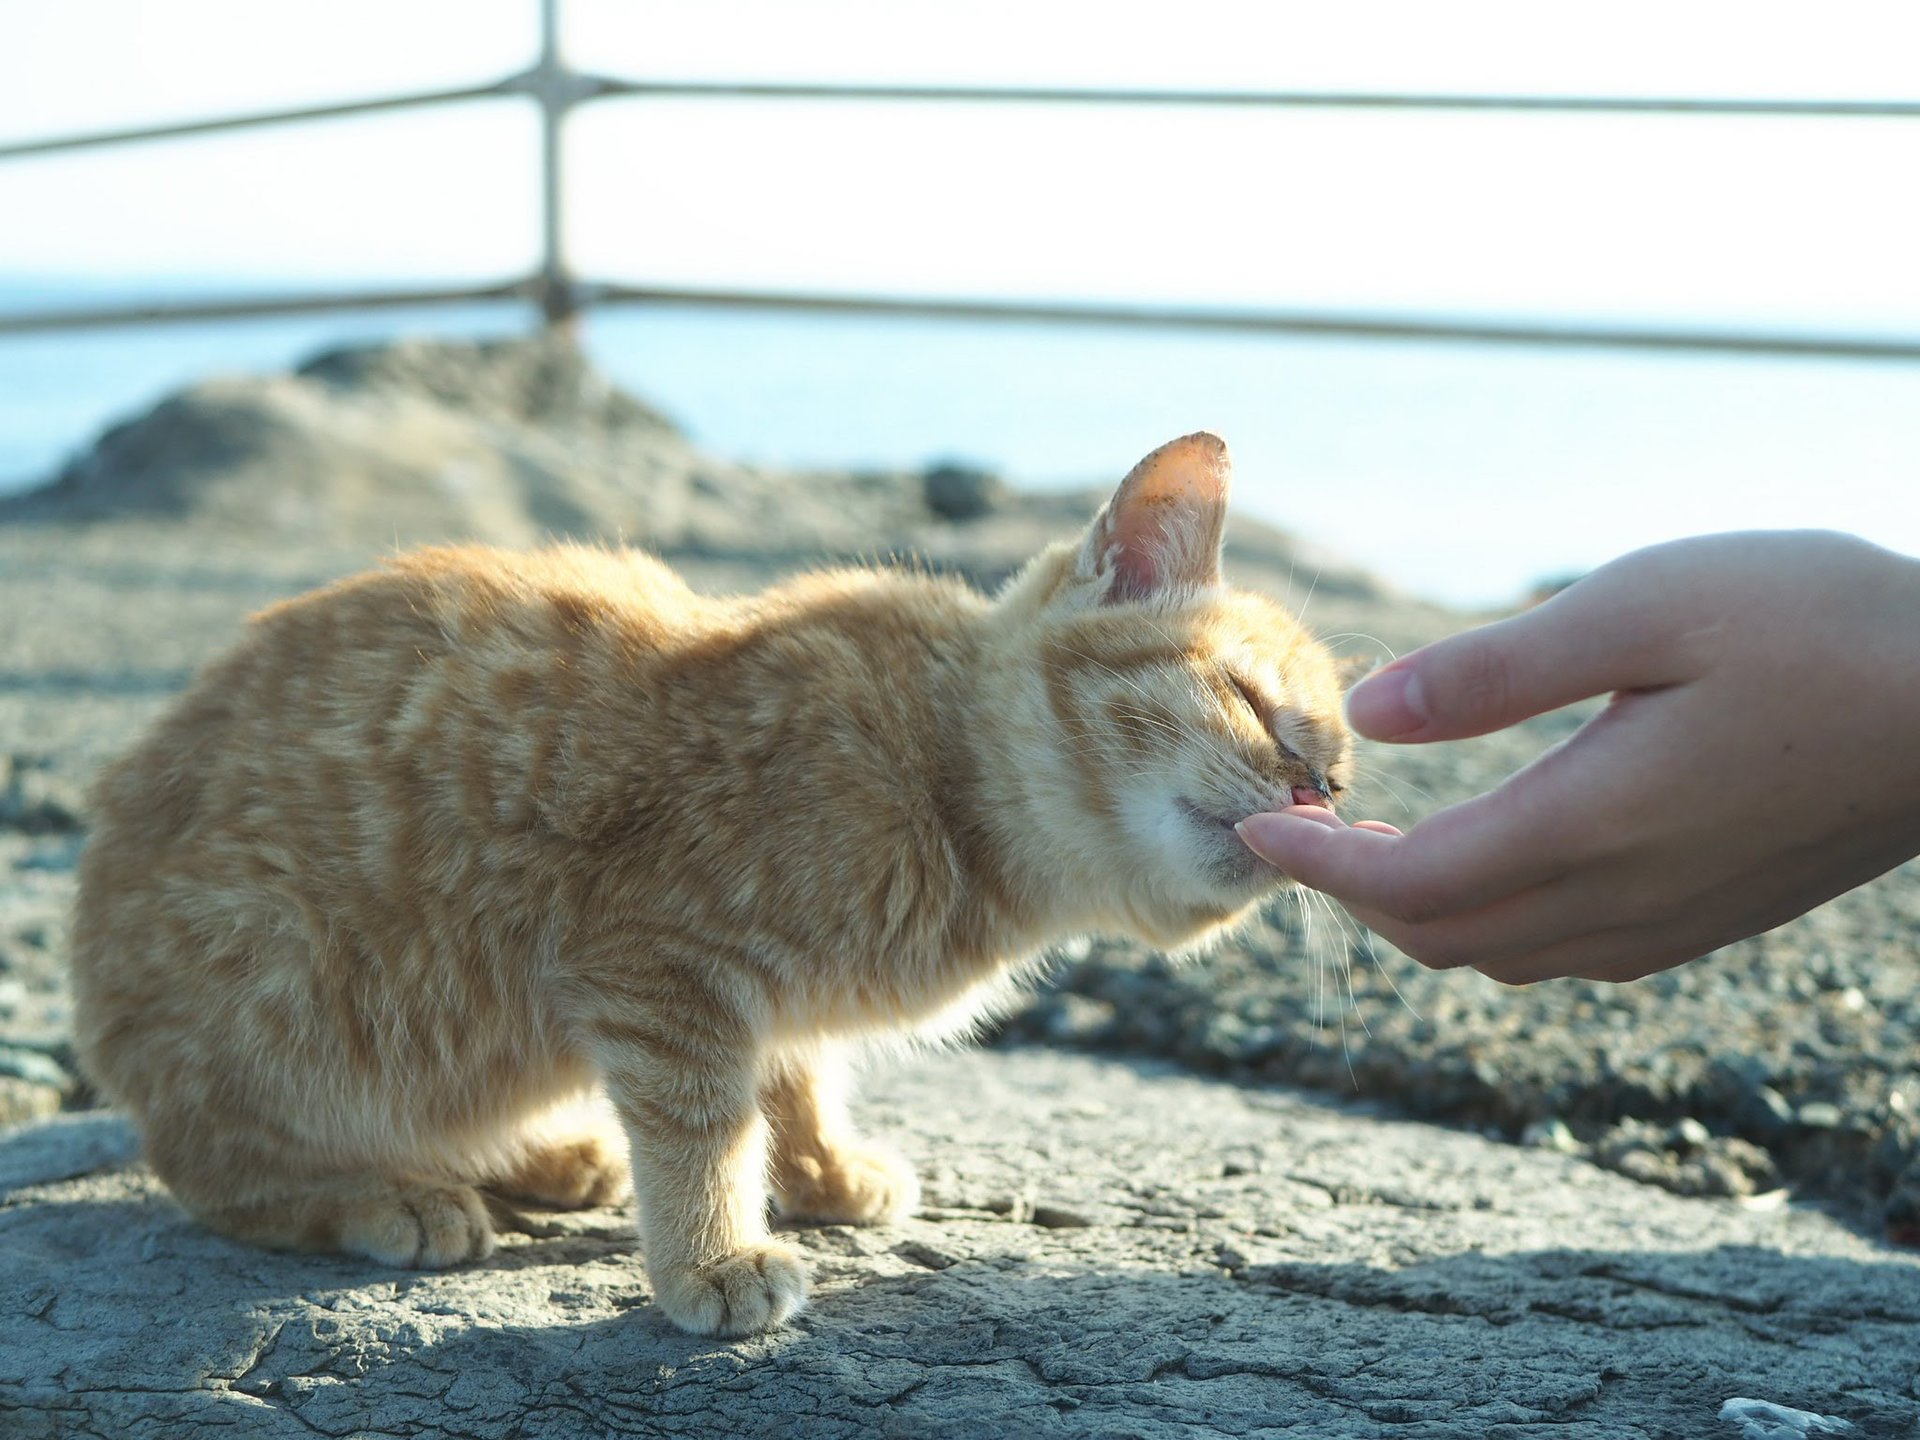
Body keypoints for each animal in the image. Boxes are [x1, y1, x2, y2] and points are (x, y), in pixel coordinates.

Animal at [71, 432, 1351, 1344]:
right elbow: (703, 1127)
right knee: (218, 1173)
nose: (1312, 796)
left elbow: (795, 1076)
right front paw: (714, 1257)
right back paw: (389, 1196)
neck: (947, 779)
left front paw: (823, 1169)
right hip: (283, 984)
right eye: (1250, 702)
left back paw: (549, 1152)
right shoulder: (656, 966)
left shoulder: (750, 995)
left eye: (1337, 778)